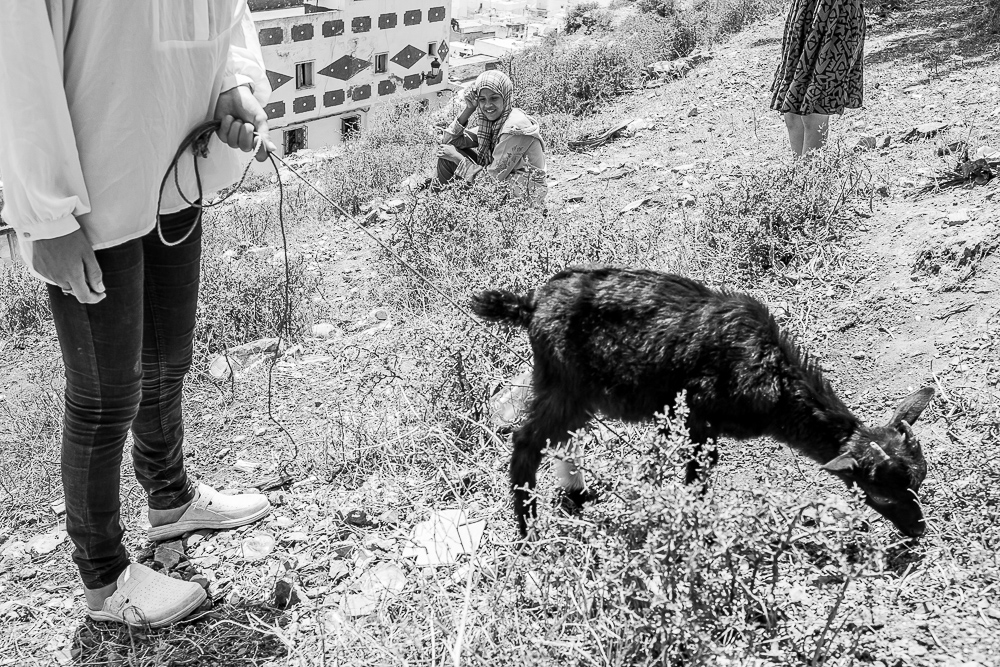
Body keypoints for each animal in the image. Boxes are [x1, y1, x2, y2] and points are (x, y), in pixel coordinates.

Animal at [472, 266, 932, 536]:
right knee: (526, 443)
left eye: (919, 481)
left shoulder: (675, 415)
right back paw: (529, 531)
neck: (774, 377)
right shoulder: (700, 416)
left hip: (574, 393)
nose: (919, 531)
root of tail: (530, 303)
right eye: (881, 494)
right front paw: (695, 528)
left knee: (562, 440)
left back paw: (577, 494)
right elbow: (697, 480)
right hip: (564, 384)